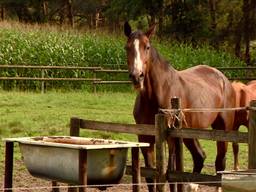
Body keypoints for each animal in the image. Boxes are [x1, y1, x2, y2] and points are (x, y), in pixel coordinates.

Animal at [124, 21, 236, 191]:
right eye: (127, 47)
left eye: (147, 46)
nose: (137, 76)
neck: (157, 95)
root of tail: (223, 79)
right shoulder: (145, 138)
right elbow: (150, 175)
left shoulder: (170, 139)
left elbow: (171, 174)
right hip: (189, 132)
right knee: (199, 156)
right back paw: (192, 186)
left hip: (222, 129)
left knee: (220, 163)